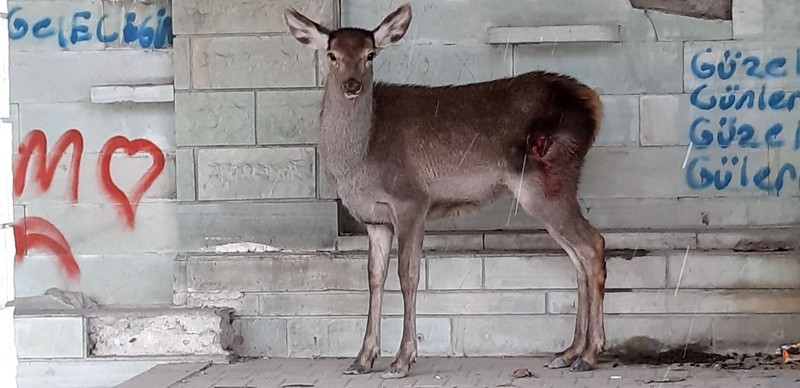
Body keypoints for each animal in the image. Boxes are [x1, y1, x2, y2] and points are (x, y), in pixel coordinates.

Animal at [288, 2, 608, 378]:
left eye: (370, 54)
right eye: (332, 54)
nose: (352, 85)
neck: (356, 163)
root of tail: (594, 105)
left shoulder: (411, 199)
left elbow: (408, 274)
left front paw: (401, 360)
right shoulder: (374, 218)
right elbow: (374, 277)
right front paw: (361, 359)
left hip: (547, 181)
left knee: (592, 245)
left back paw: (590, 354)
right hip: (549, 189)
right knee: (577, 256)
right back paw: (569, 352)